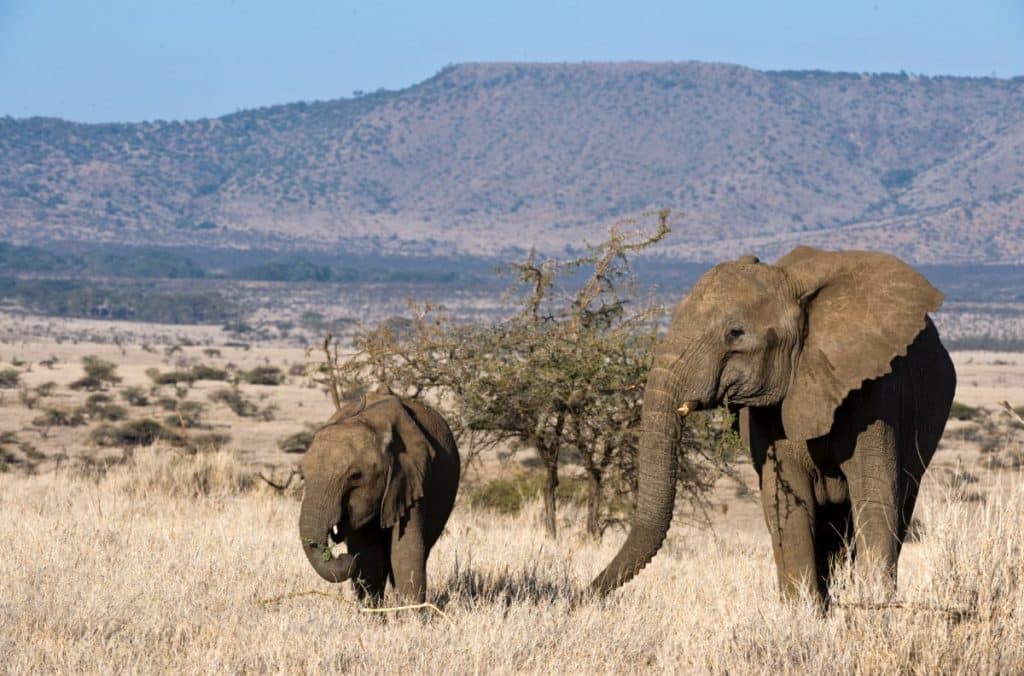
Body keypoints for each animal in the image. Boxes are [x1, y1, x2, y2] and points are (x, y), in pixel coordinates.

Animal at [299, 392, 460, 603]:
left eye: (355, 476)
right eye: (302, 476)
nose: (344, 558)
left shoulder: (413, 476)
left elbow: (406, 552)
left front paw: (409, 612)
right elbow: (368, 556)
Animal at [592, 246, 955, 606]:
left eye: (735, 333)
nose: (586, 593)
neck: (793, 285)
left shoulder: (876, 389)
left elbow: (874, 496)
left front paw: (874, 606)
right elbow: (787, 504)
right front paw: (803, 612)